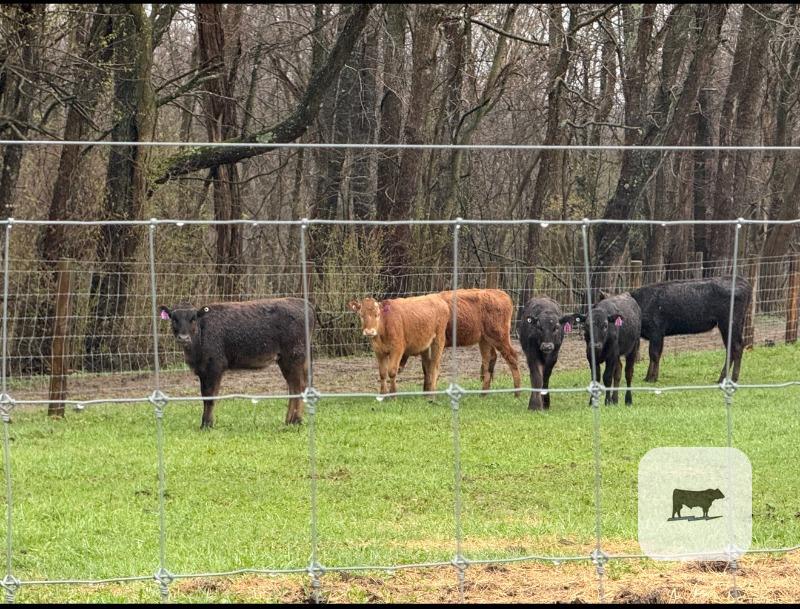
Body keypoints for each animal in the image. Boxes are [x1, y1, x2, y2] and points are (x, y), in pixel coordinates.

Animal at [159, 298, 312, 429]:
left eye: (193, 319)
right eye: (174, 319)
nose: (183, 338)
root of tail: (303, 303)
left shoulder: (215, 366)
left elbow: (210, 396)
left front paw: (207, 425)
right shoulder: (202, 370)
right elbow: (204, 396)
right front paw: (205, 423)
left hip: (293, 357)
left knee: (298, 386)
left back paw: (295, 421)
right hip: (290, 360)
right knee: (295, 386)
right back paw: (290, 421)